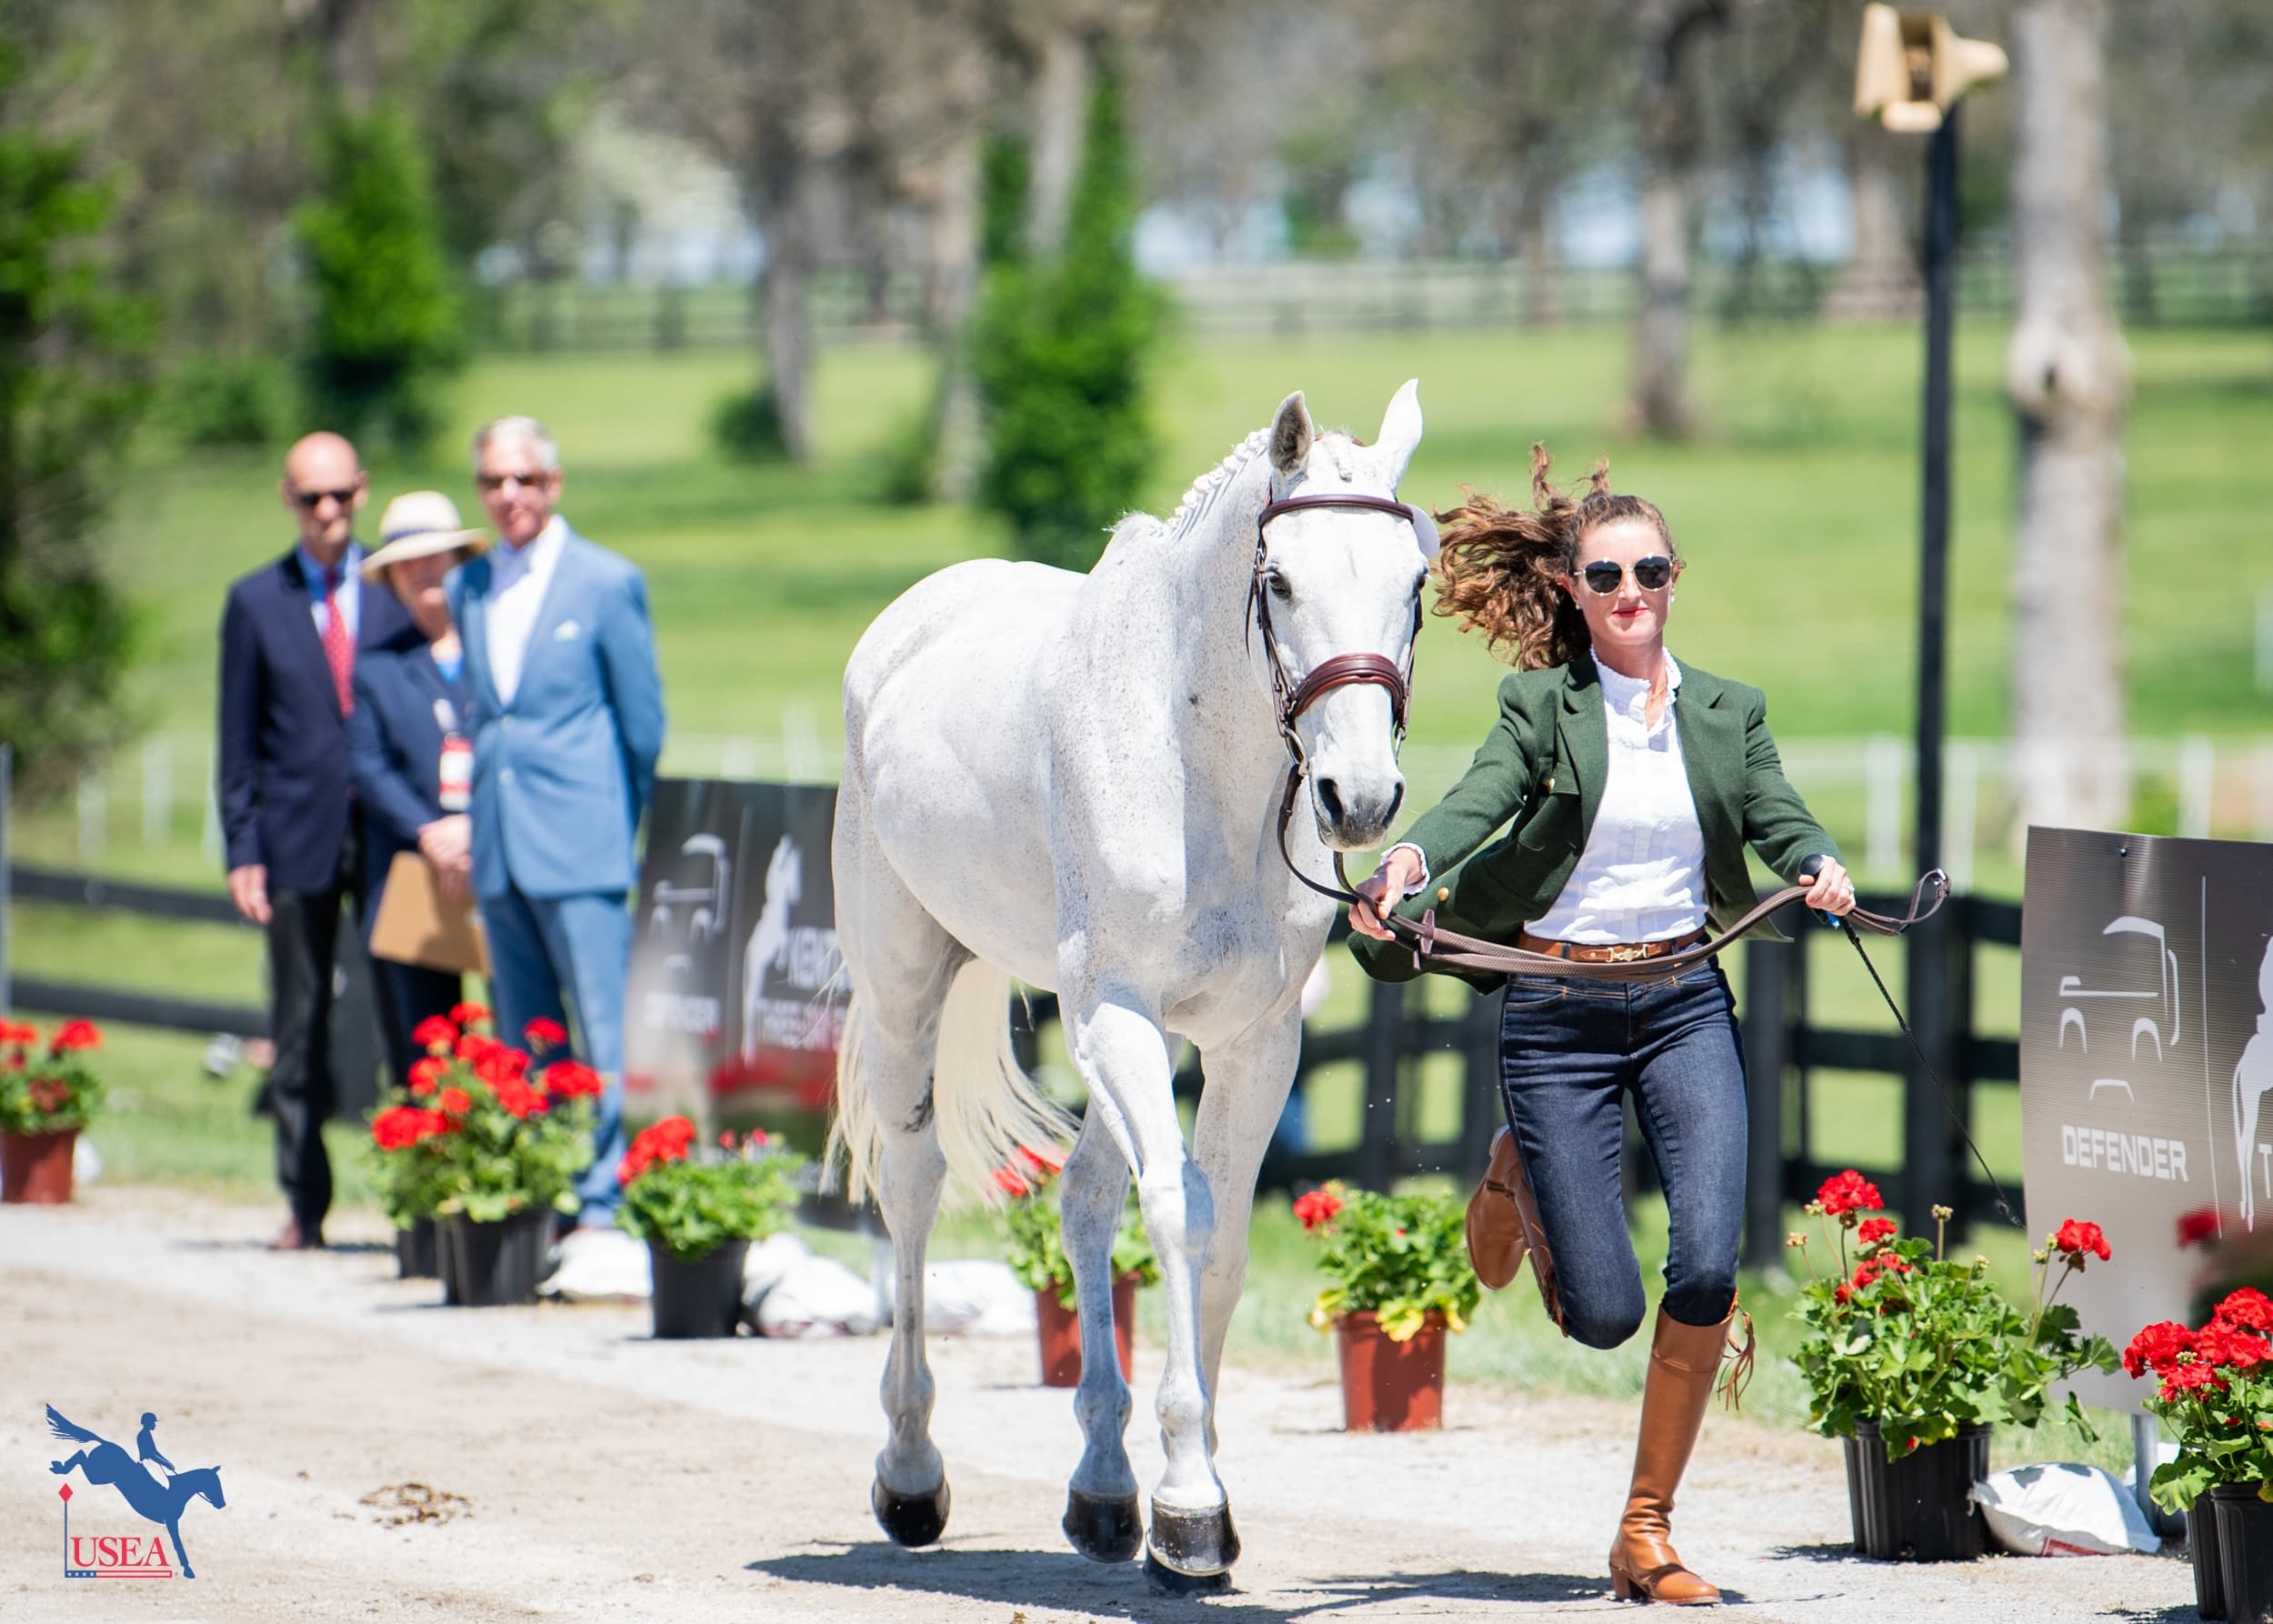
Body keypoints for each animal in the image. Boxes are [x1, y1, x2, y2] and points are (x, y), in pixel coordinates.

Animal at [47, 1406, 226, 1579]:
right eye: (213, 1484)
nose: (222, 1505)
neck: (177, 1491)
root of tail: (105, 1443)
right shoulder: (171, 1520)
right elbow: (178, 1544)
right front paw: (188, 1570)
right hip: (98, 1477)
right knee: (81, 1455)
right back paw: (59, 1467)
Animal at [828, 382, 1430, 1587]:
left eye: (1414, 586)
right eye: (1280, 582)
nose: (1358, 798)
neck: (1193, 757)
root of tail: (906, 626)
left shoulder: (1251, 1041)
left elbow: (1221, 1237)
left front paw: (1187, 1498)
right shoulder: (1121, 1016)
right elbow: (1178, 1214)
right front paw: (1191, 1504)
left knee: (1082, 1200)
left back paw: (1103, 1491)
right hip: (915, 992)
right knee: (914, 1189)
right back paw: (911, 1474)